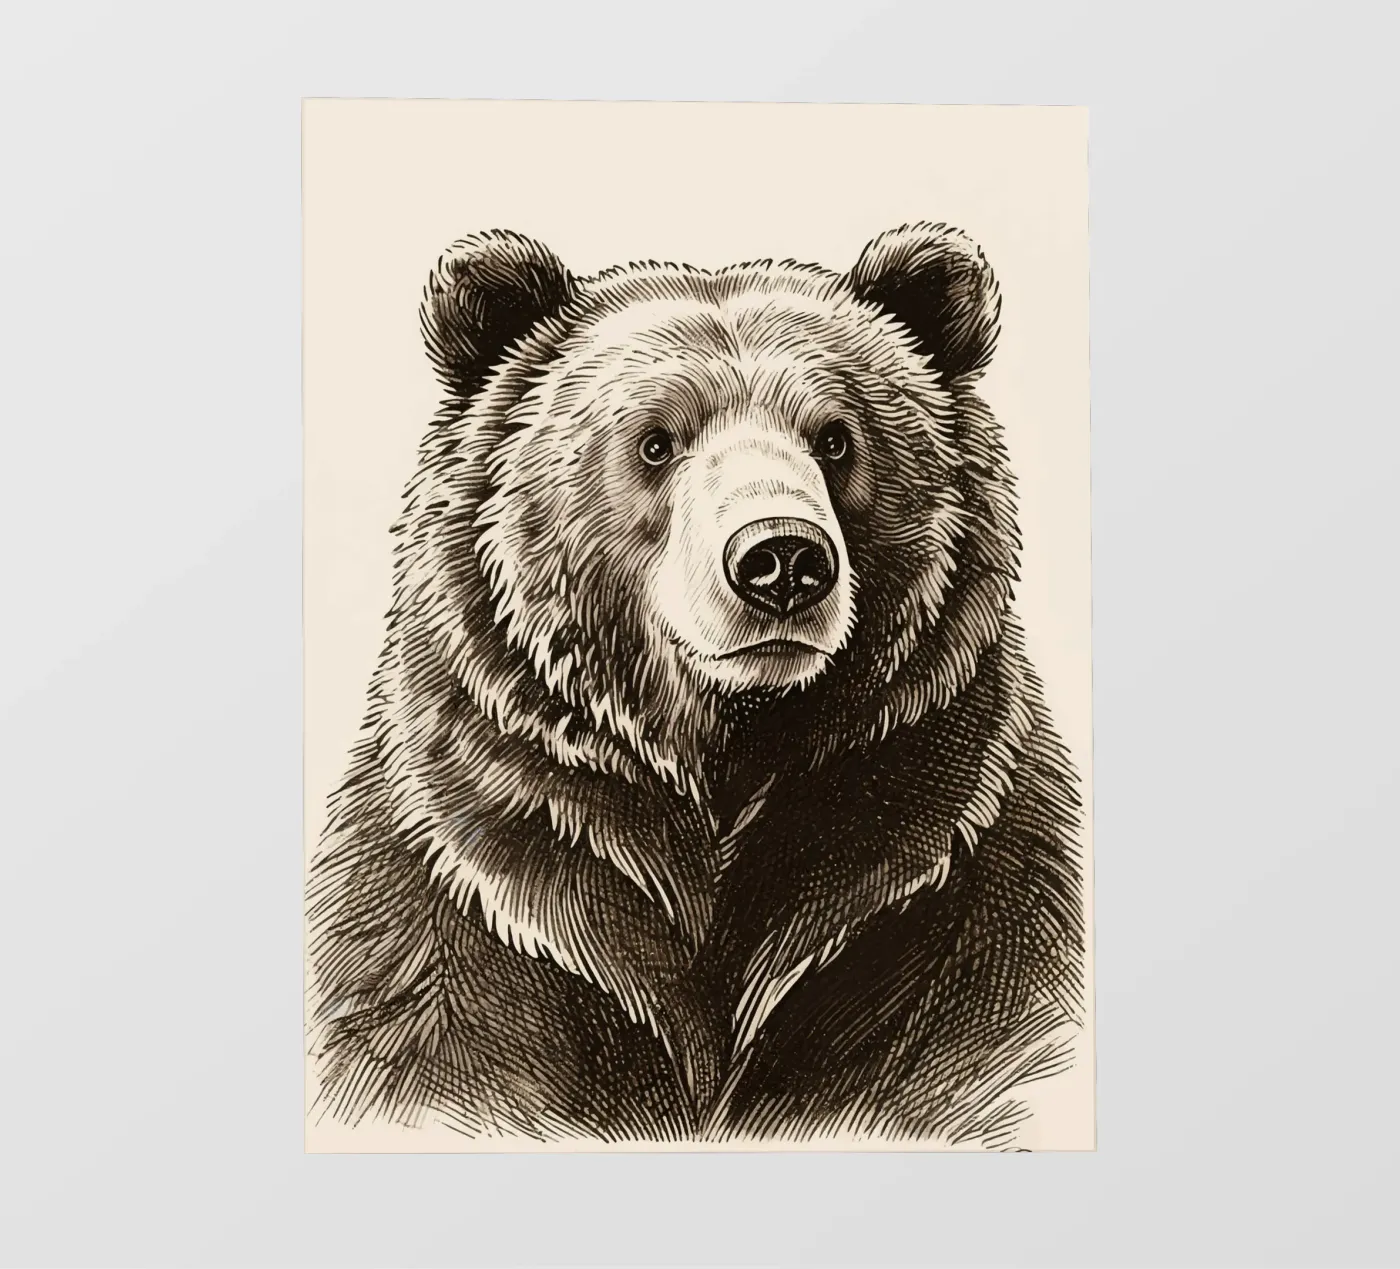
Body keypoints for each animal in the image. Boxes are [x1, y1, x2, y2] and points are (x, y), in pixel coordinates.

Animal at [306, 223, 1086, 1148]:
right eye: (655, 440)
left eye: (836, 437)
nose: (782, 559)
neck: (722, 753)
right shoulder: (467, 912)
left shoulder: (940, 897)